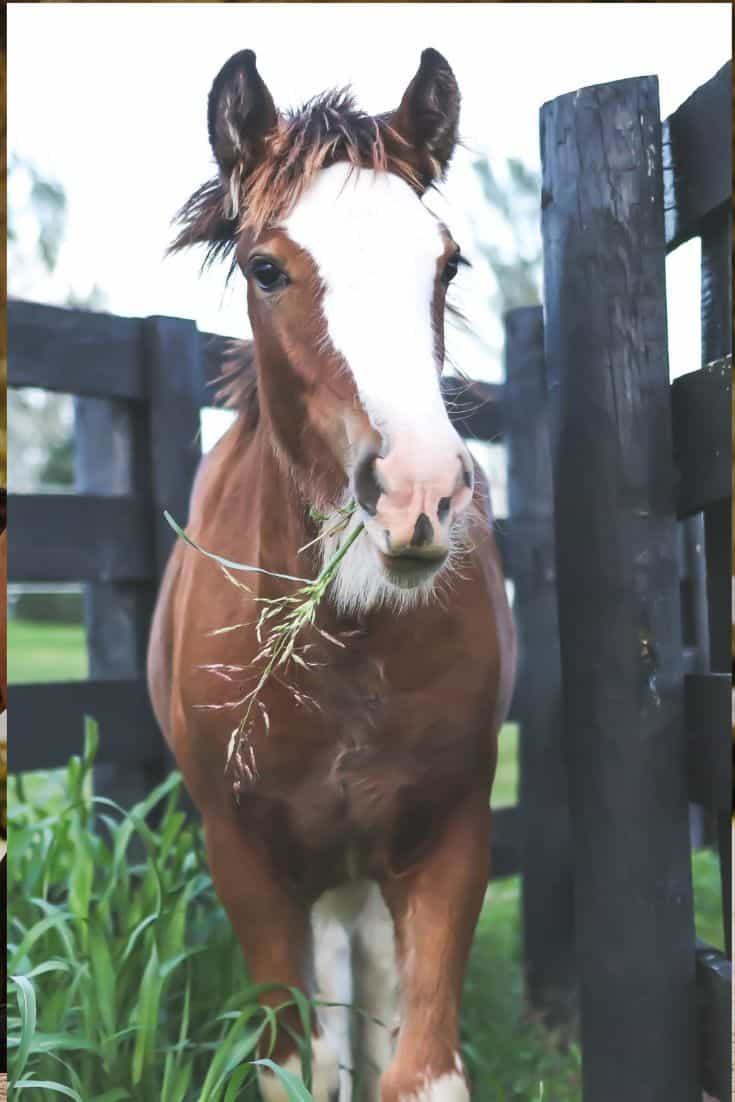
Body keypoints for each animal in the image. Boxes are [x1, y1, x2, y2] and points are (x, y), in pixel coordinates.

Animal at [148, 47, 515, 1102]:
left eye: (446, 263)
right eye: (267, 268)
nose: (418, 495)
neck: (348, 637)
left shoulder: (446, 839)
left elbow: (418, 1066)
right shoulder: (247, 858)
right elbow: (294, 1061)